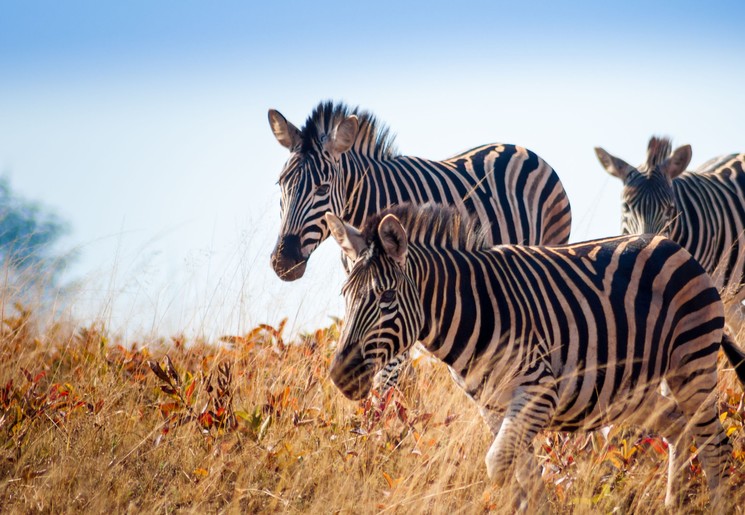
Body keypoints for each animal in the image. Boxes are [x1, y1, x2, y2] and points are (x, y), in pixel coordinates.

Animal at [323, 203, 745, 510]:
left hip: (692, 364)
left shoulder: (537, 392)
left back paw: (718, 504)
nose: (341, 375)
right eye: (344, 296)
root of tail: (674, 246)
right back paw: (674, 503)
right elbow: (524, 475)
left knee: (715, 445)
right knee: (679, 426)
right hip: (628, 390)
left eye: (386, 297)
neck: (473, 310)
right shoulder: (493, 406)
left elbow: (499, 466)